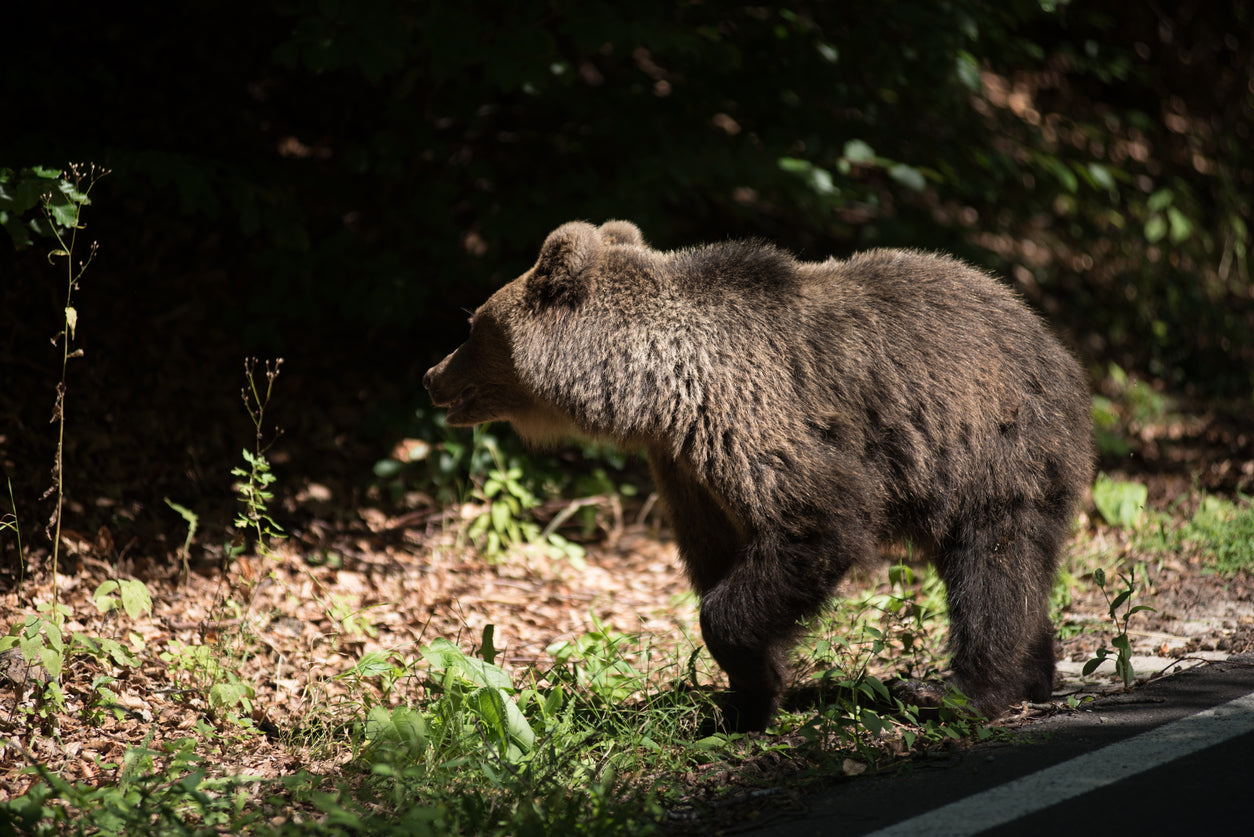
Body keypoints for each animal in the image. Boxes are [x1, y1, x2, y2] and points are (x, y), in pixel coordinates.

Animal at [424, 220, 1093, 732]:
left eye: (472, 325)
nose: (432, 375)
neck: (658, 389)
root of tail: (1055, 345)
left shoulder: (754, 422)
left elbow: (816, 520)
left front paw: (751, 688)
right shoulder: (685, 468)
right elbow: (720, 557)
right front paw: (747, 694)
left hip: (992, 445)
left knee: (992, 565)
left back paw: (960, 691)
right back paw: (1035, 675)